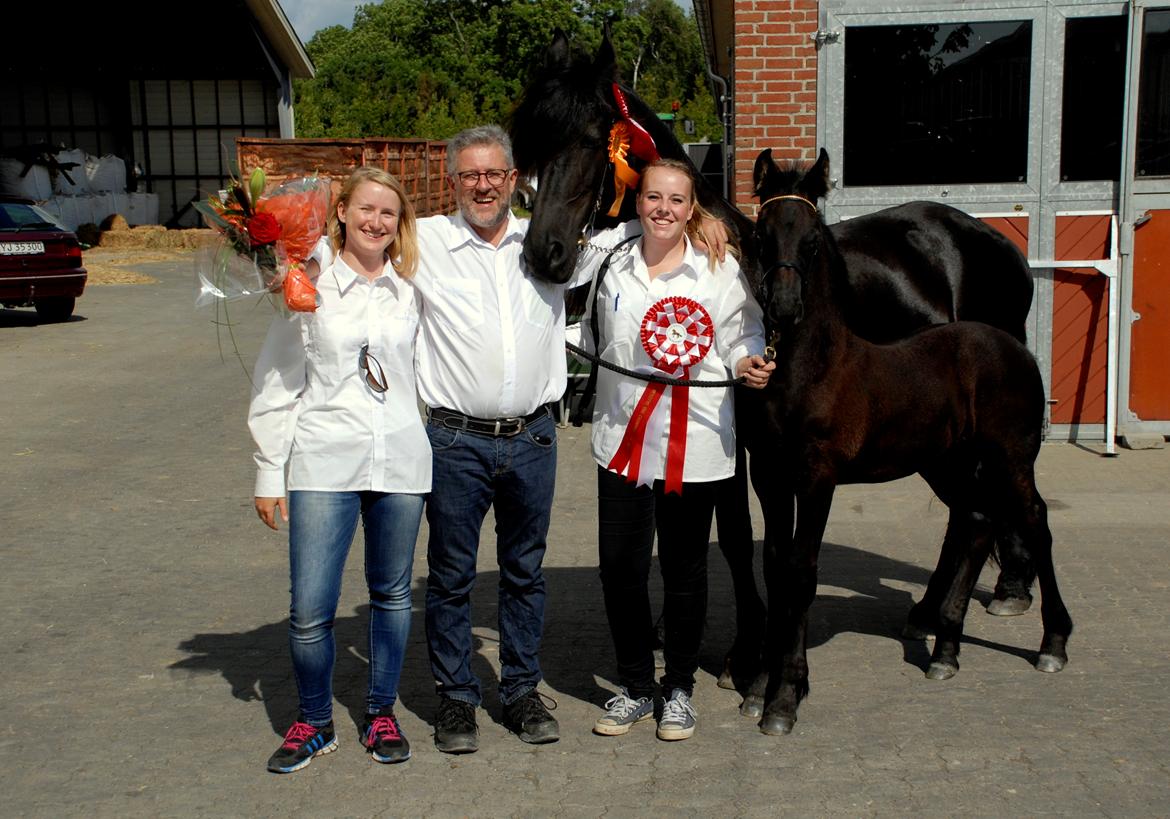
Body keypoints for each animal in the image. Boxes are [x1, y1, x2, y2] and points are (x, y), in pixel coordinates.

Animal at [507, 28, 1038, 683]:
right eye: (533, 142)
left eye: (588, 138)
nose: (545, 254)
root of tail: (994, 245)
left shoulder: (743, 444)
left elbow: (739, 537)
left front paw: (749, 653)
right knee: (969, 512)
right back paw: (934, 616)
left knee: (988, 505)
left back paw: (995, 600)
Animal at [748, 152, 1071, 734]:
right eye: (762, 236)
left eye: (813, 240)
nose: (784, 307)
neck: (807, 371)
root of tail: (1012, 345)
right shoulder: (769, 477)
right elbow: (776, 571)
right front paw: (760, 684)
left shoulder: (818, 479)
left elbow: (802, 573)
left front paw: (786, 698)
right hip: (949, 463)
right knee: (976, 520)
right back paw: (944, 648)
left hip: (1009, 457)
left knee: (1034, 518)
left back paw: (1052, 642)